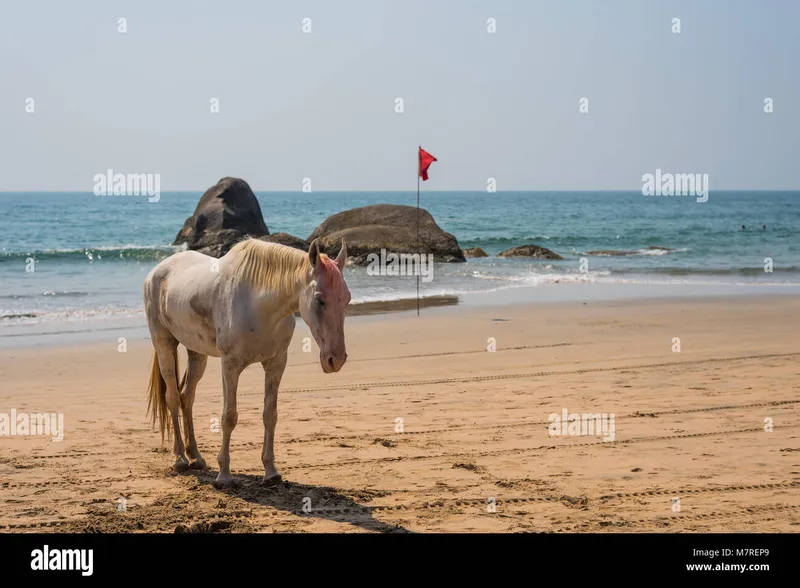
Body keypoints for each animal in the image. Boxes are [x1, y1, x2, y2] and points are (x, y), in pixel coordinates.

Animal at [142, 238, 348, 486]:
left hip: (197, 353)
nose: (336, 359)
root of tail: (156, 271)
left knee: (186, 397)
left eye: (347, 299)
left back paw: (196, 456)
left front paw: (271, 472)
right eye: (319, 299)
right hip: (164, 345)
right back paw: (181, 458)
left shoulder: (276, 363)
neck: (258, 304)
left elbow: (270, 415)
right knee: (172, 397)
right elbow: (229, 417)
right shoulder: (230, 366)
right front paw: (224, 475)